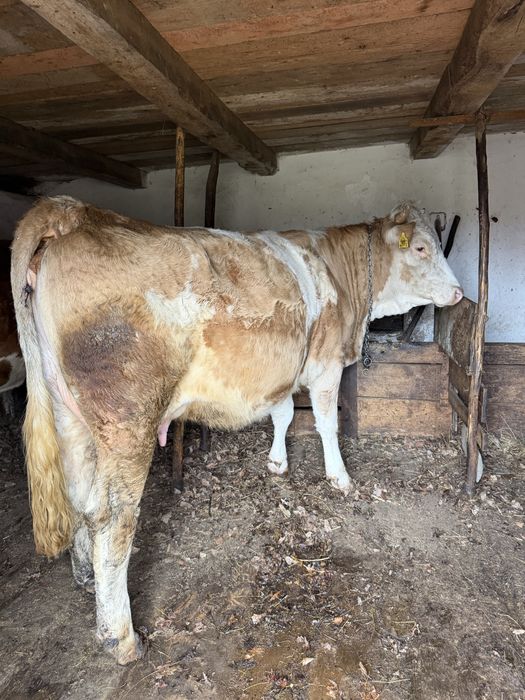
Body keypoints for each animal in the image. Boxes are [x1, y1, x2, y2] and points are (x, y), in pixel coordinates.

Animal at [11, 196, 463, 664]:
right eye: (421, 248)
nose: (458, 292)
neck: (339, 271)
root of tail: (73, 212)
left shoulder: (282, 371)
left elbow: (283, 414)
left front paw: (277, 463)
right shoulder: (325, 364)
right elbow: (326, 422)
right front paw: (339, 476)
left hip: (68, 412)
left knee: (78, 494)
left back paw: (86, 578)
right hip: (127, 420)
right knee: (112, 516)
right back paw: (120, 635)